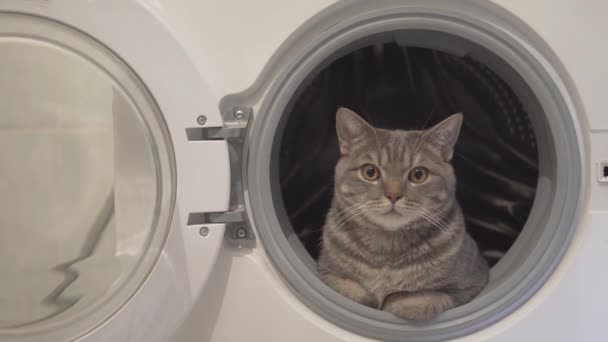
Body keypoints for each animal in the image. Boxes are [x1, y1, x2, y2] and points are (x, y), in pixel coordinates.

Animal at [318, 108, 490, 322]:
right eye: (370, 172)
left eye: (418, 175)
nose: (393, 195)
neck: (386, 253)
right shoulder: (325, 270)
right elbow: (351, 288)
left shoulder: (470, 282)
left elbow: (418, 298)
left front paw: (395, 303)